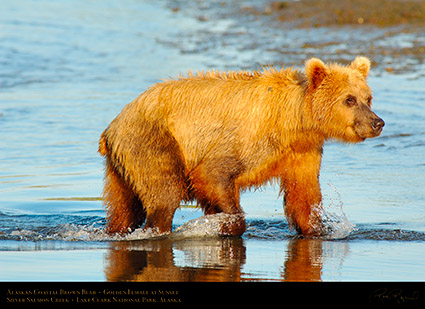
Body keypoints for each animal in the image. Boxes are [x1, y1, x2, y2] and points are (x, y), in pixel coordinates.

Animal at [99, 56, 384, 236]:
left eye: (368, 98)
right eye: (349, 99)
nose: (376, 123)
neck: (294, 121)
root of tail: (111, 128)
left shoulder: (302, 152)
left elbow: (304, 196)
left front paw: (318, 229)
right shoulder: (247, 138)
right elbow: (213, 173)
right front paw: (218, 224)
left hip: (122, 166)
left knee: (124, 209)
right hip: (153, 142)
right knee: (163, 196)